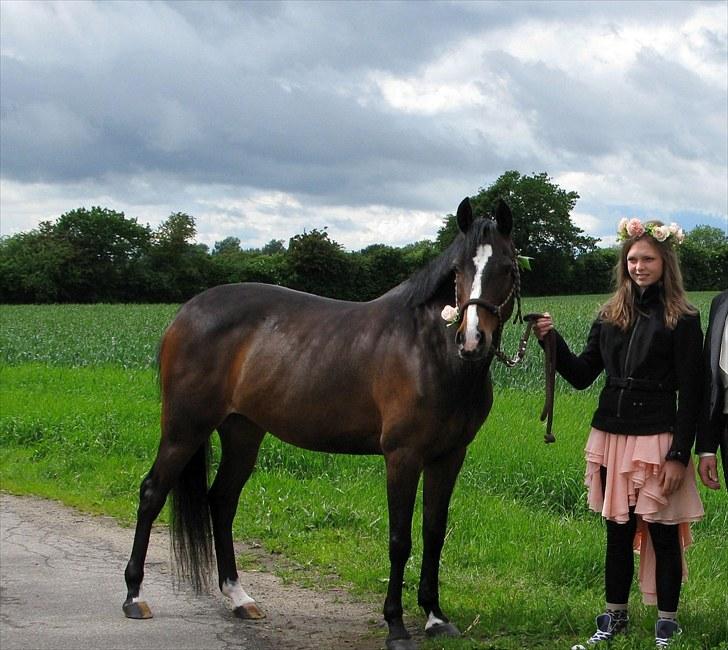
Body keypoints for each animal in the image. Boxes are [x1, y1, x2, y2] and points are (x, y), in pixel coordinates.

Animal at [126, 197, 524, 648]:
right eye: (459, 270)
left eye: (507, 268)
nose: (472, 341)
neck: (428, 350)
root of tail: (184, 315)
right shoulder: (402, 457)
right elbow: (399, 538)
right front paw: (395, 625)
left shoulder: (449, 456)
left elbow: (434, 533)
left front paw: (436, 617)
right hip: (184, 429)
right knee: (152, 493)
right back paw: (134, 596)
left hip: (242, 431)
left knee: (222, 500)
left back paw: (239, 598)